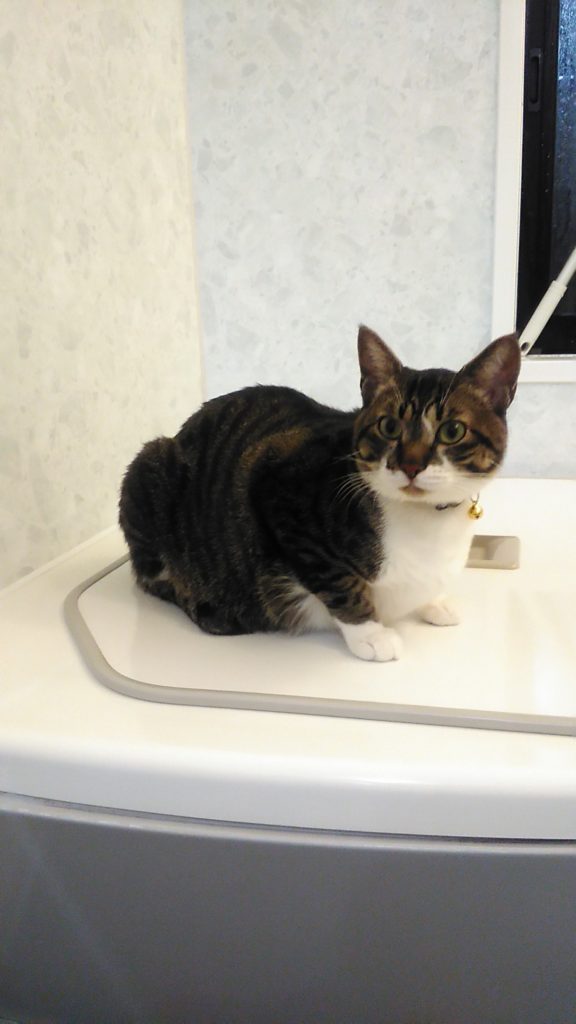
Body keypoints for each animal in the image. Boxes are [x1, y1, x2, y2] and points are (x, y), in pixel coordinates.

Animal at [119, 326, 520, 662]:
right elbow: (338, 581)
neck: (423, 518)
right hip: (149, 468)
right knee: (154, 577)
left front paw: (435, 602)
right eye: (389, 426)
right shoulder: (280, 493)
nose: (410, 465)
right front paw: (371, 635)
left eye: (452, 430)